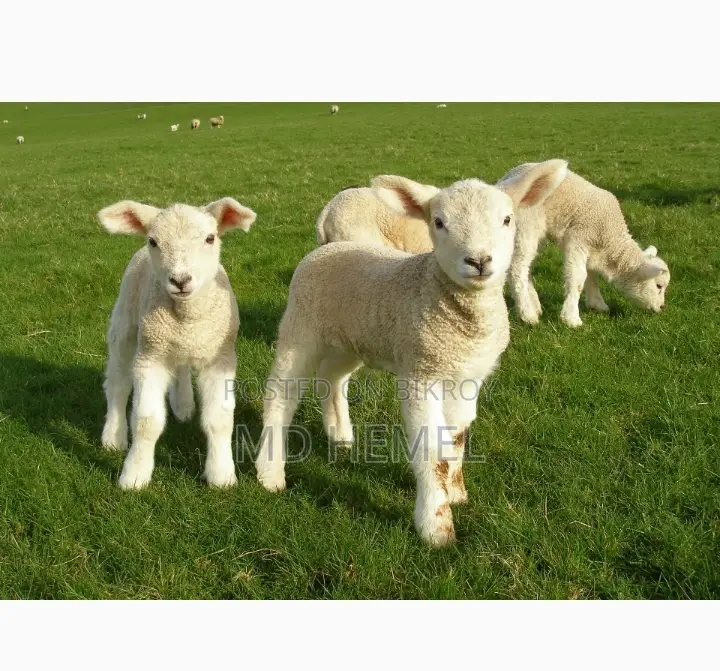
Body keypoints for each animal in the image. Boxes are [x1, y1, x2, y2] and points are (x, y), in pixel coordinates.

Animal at [97, 197, 257, 490]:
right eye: (153, 241)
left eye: (210, 238)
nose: (180, 280)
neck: (186, 318)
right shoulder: (150, 358)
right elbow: (146, 421)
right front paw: (134, 474)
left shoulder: (220, 358)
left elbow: (219, 420)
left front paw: (221, 474)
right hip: (125, 324)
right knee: (117, 383)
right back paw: (113, 436)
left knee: (180, 366)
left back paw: (183, 405)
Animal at [255, 159, 568, 547]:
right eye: (439, 222)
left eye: (508, 219)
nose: (479, 260)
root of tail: (325, 247)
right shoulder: (422, 373)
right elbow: (433, 449)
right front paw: (437, 527)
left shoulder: (466, 375)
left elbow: (458, 437)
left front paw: (456, 493)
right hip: (300, 328)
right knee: (280, 395)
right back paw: (270, 473)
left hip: (352, 337)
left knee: (332, 377)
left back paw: (339, 434)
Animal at [498, 163, 671, 327]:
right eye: (658, 286)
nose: (662, 308)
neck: (610, 240)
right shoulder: (578, 239)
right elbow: (578, 278)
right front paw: (571, 318)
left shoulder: (593, 249)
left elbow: (591, 276)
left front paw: (597, 304)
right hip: (526, 227)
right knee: (517, 268)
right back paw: (527, 315)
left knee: (527, 267)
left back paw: (535, 305)